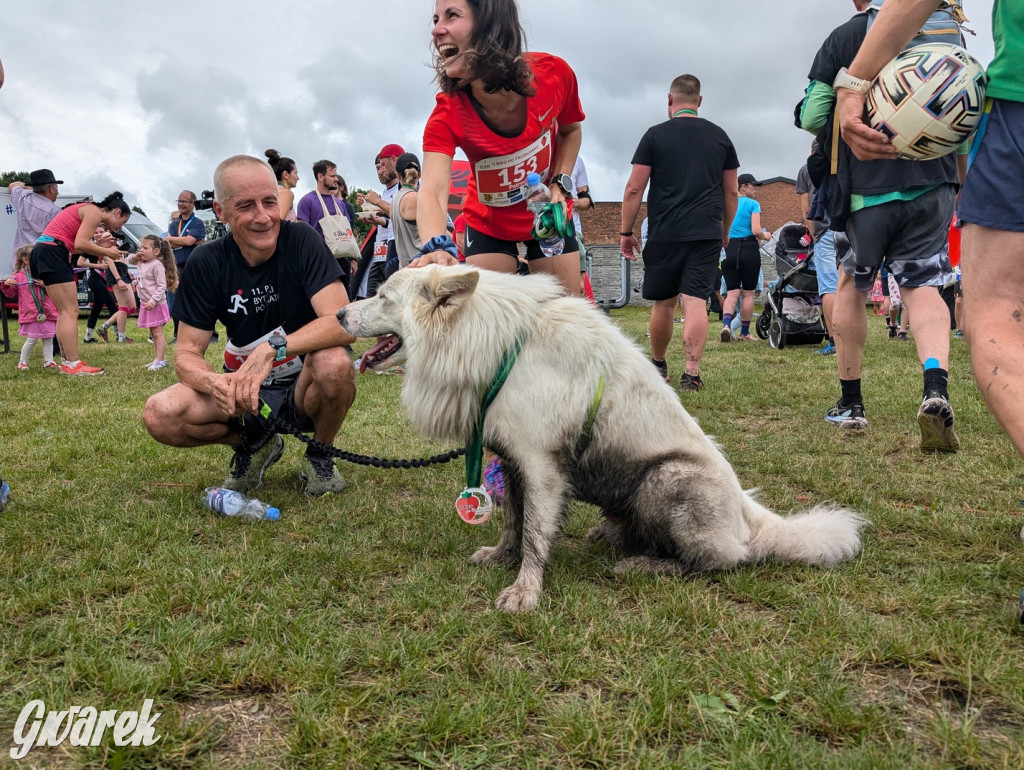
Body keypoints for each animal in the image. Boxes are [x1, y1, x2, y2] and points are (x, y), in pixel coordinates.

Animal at [339, 268, 868, 610]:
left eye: (381, 296)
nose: (340, 313)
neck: (502, 343)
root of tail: (750, 518)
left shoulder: (542, 467)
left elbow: (535, 533)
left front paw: (525, 592)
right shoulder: (512, 460)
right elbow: (513, 522)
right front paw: (500, 558)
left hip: (667, 479)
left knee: (720, 560)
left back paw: (644, 565)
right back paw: (612, 535)